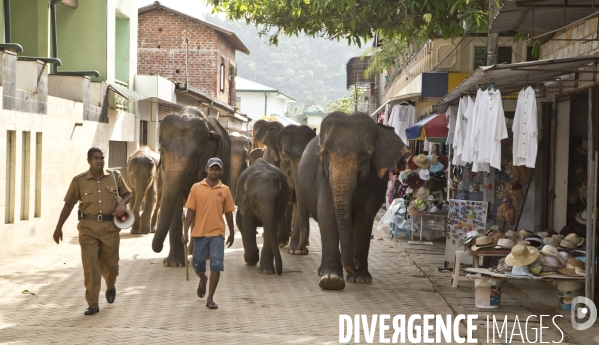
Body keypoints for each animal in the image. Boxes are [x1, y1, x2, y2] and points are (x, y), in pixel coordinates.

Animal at [152, 106, 232, 268]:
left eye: (195, 155)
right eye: (161, 151)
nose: (159, 247)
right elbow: (176, 202)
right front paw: (173, 264)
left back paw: (201, 254)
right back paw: (190, 251)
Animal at [298, 111, 406, 288]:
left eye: (363, 154)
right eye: (325, 153)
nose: (354, 263)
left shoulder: (377, 178)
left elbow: (365, 216)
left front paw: (360, 279)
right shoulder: (323, 173)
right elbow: (326, 212)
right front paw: (331, 280)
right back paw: (322, 271)